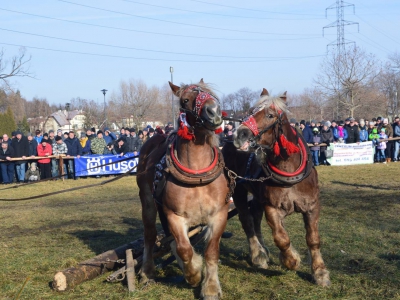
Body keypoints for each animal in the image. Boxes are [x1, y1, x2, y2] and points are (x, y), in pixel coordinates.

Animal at [137, 79, 230, 298]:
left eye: (210, 94)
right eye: (185, 100)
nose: (214, 111)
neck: (197, 175)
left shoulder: (219, 215)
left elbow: (211, 251)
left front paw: (210, 287)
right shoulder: (174, 216)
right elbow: (183, 248)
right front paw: (194, 273)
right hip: (148, 201)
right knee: (150, 234)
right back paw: (147, 270)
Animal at [231, 88, 332, 286]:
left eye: (270, 115)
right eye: (251, 112)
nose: (239, 135)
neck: (289, 171)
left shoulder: (312, 206)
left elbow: (313, 239)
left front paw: (319, 272)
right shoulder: (272, 207)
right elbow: (281, 237)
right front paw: (290, 260)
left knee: (255, 217)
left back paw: (263, 250)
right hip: (238, 190)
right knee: (247, 221)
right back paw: (258, 255)